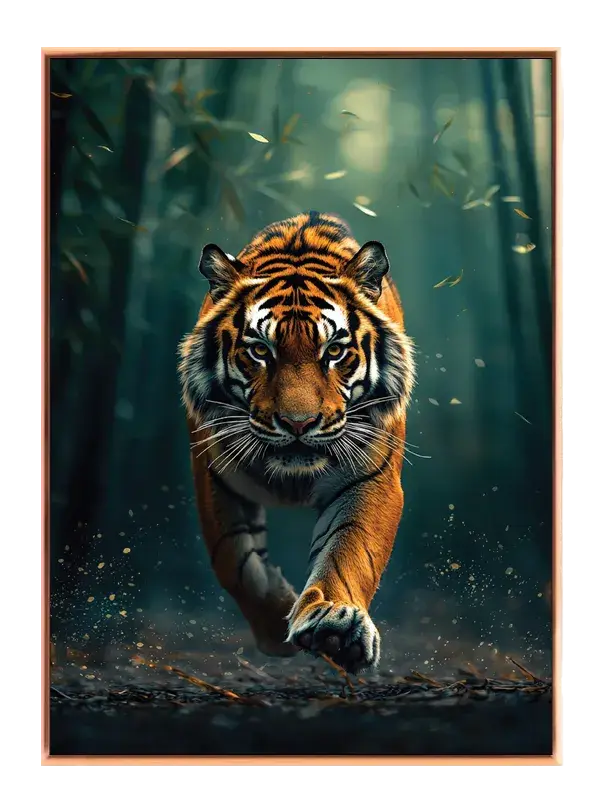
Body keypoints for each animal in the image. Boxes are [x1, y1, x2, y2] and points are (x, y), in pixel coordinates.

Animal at [178, 211, 416, 673]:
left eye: (335, 351)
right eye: (259, 350)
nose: (298, 423)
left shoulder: (371, 478)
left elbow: (348, 549)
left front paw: (334, 627)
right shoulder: (215, 477)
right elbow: (236, 562)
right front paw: (277, 627)